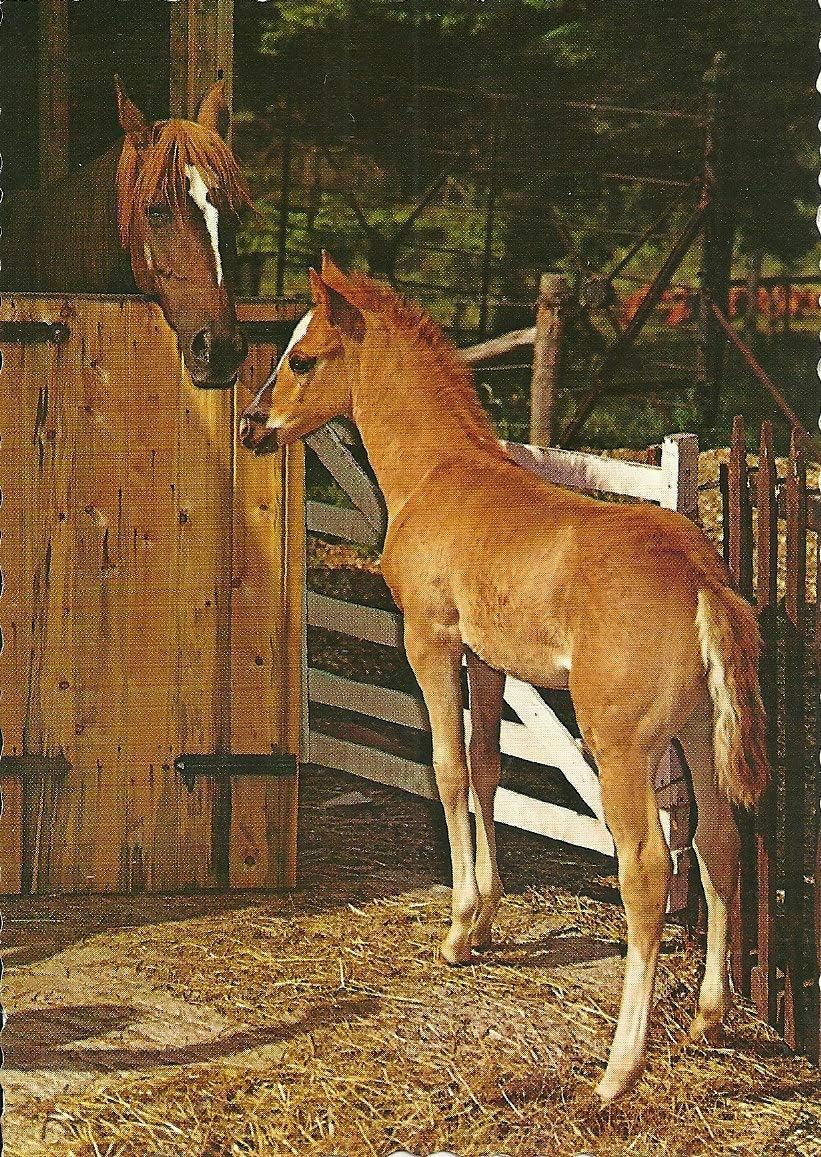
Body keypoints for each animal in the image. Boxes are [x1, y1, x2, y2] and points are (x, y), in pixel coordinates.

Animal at [239, 254, 770, 1103]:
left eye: (303, 359)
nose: (253, 426)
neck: (437, 471)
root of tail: (699, 578)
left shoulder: (429, 638)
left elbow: (448, 768)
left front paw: (458, 927)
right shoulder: (487, 660)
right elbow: (488, 768)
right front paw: (485, 918)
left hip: (619, 745)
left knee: (648, 868)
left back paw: (617, 1070)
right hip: (693, 732)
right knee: (717, 842)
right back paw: (708, 1018)